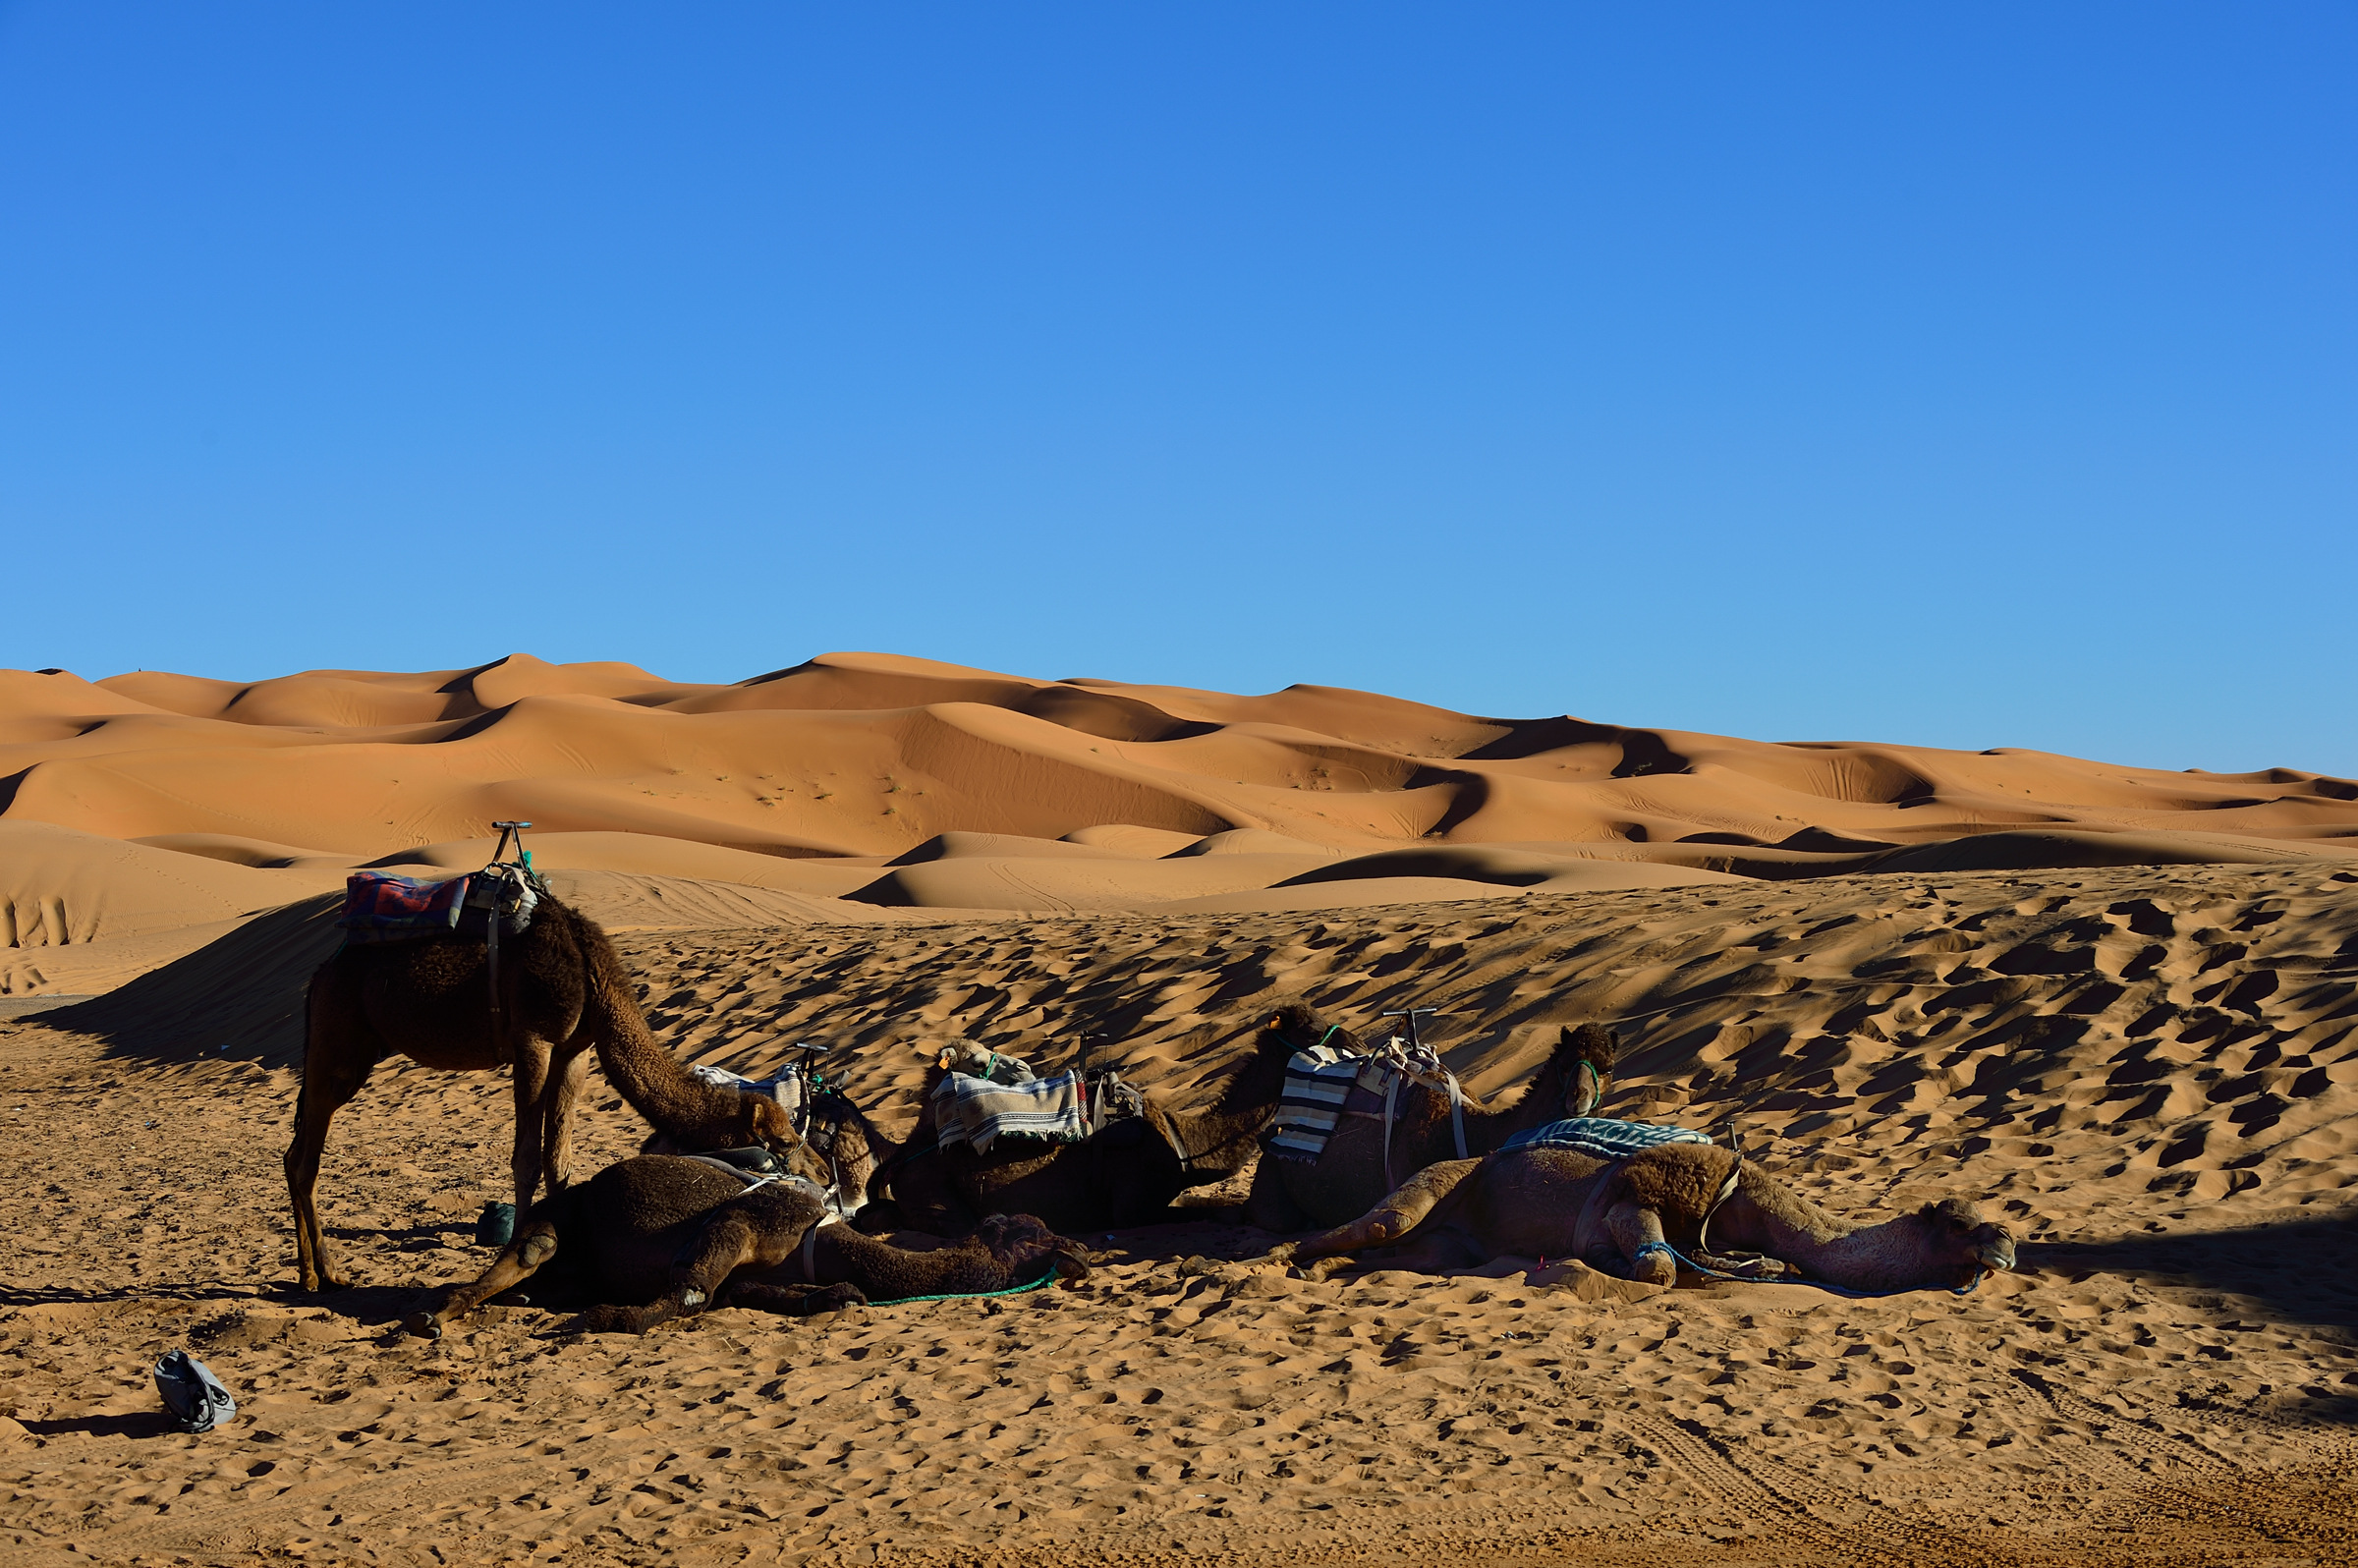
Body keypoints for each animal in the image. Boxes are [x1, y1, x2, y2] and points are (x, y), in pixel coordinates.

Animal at [285, 892, 823, 1292]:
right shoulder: (534, 1041)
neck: (592, 976)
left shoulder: (574, 1052)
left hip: (356, 1049)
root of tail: (317, 976)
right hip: (337, 1042)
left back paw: (313, 1271)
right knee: (306, 1157)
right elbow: (525, 1157)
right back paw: (321, 1275)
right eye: (783, 1142)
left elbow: (558, 1158)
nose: (820, 1174)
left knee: (296, 1152)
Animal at [405, 1155, 1093, 1338]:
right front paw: (608, 1318)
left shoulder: (754, 1273)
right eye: (1035, 1235)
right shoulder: (744, 1222)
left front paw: (832, 1296)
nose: (1084, 1251)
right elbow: (690, 1295)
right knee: (526, 1252)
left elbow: (790, 1294)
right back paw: (438, 1313)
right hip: (553, 1222)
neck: (823, 1237)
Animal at [864, 1004, 1359, 1238]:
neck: (1182, 1141)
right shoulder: (1134, 1207)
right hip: (933, 1190)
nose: (1355, 1041)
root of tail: (903, 1159)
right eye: (1310, 1029)